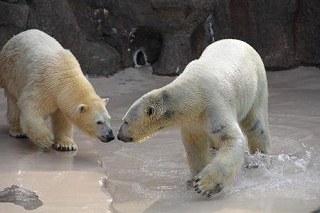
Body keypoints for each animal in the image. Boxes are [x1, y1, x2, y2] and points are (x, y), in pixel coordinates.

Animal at [116, 38, 268, 198]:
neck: (193, 94)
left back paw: (259, 159)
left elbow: (231, 138)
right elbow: (195, 145)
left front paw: (205, 185)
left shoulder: (214, 106)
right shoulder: (192, 120)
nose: (119, 136)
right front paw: (192, 180)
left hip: (257, 84)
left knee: (256, 124)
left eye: (125, 121)